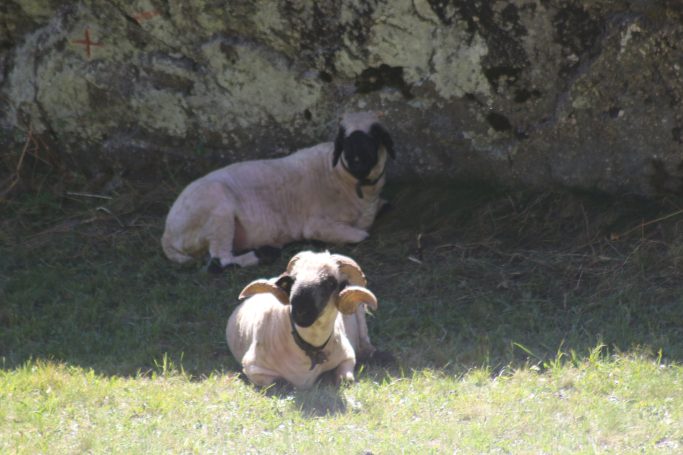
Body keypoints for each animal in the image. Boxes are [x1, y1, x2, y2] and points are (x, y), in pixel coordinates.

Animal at [161, 112, 395, 270]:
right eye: (344, 138)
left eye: (375, 136)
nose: (356, 160)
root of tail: (168, 234)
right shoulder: (317, 224)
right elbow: (362, 234)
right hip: (217, 210)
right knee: (220, 261)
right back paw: (263, 254)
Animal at [226, 251, 378, 389]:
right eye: (292, 280)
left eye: (331, 282)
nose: (300, 310)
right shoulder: (253, 368)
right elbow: (278, 383)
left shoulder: (348, 356)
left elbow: (346, 379)